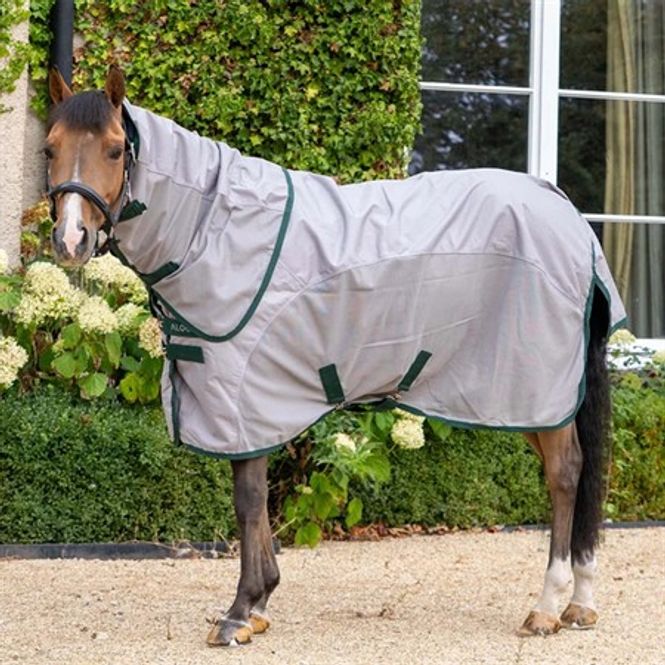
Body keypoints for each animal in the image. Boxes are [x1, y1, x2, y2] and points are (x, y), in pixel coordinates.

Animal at [45, 66, 625, 645]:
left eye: (115, 149)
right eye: (50, 148)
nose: (71, 240)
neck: (215, 230)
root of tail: (568, 216)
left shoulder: (243, 395)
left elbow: (247, 500)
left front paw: (241, 611)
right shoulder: (251, 403)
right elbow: (255, 501)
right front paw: (260, 604)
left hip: (538, 388)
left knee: (566, 474)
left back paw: (547, 607)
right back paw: (582, 604)